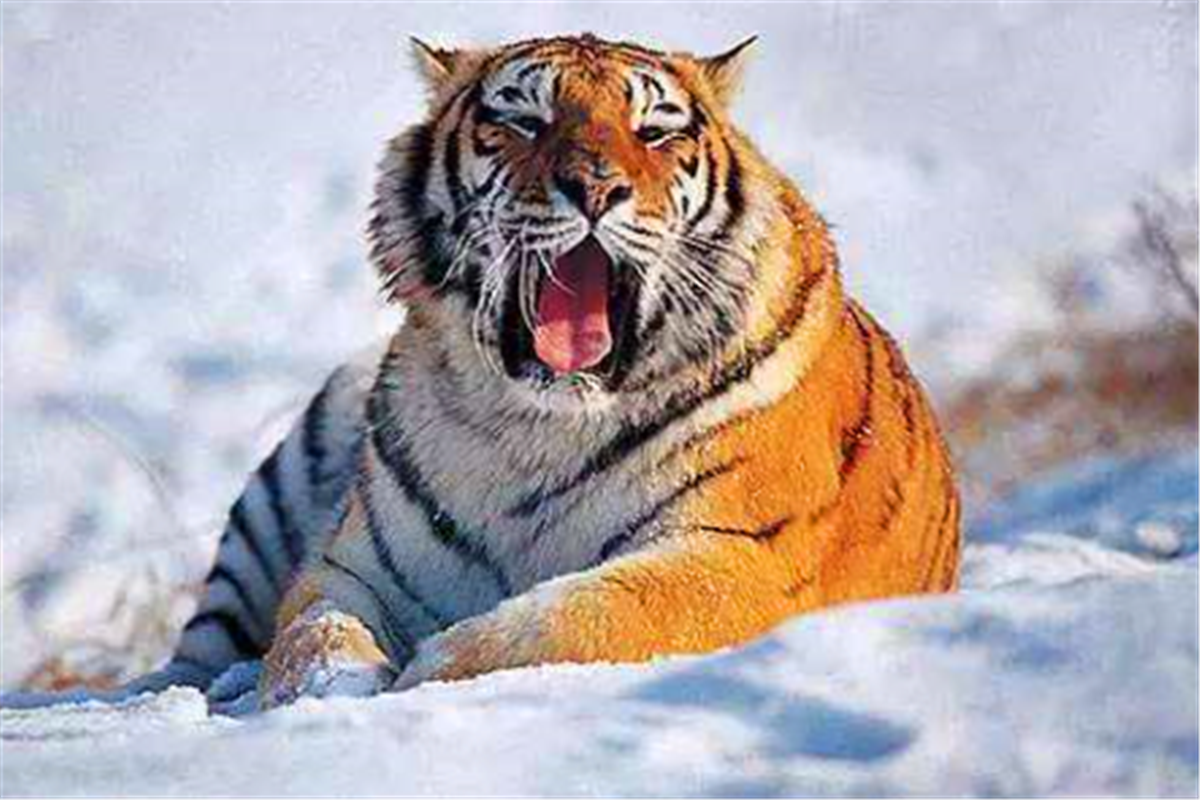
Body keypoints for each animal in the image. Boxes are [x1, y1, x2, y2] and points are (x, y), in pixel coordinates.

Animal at [138, 33, 960, 708]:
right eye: (525, 121)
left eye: (654, 130)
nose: (594, 189)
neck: (537, 424)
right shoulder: (356, 564)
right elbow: (315, 630)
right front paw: (328, 689)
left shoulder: (739, 554)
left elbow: (585, 614)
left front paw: (430, 670)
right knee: (200, 646)